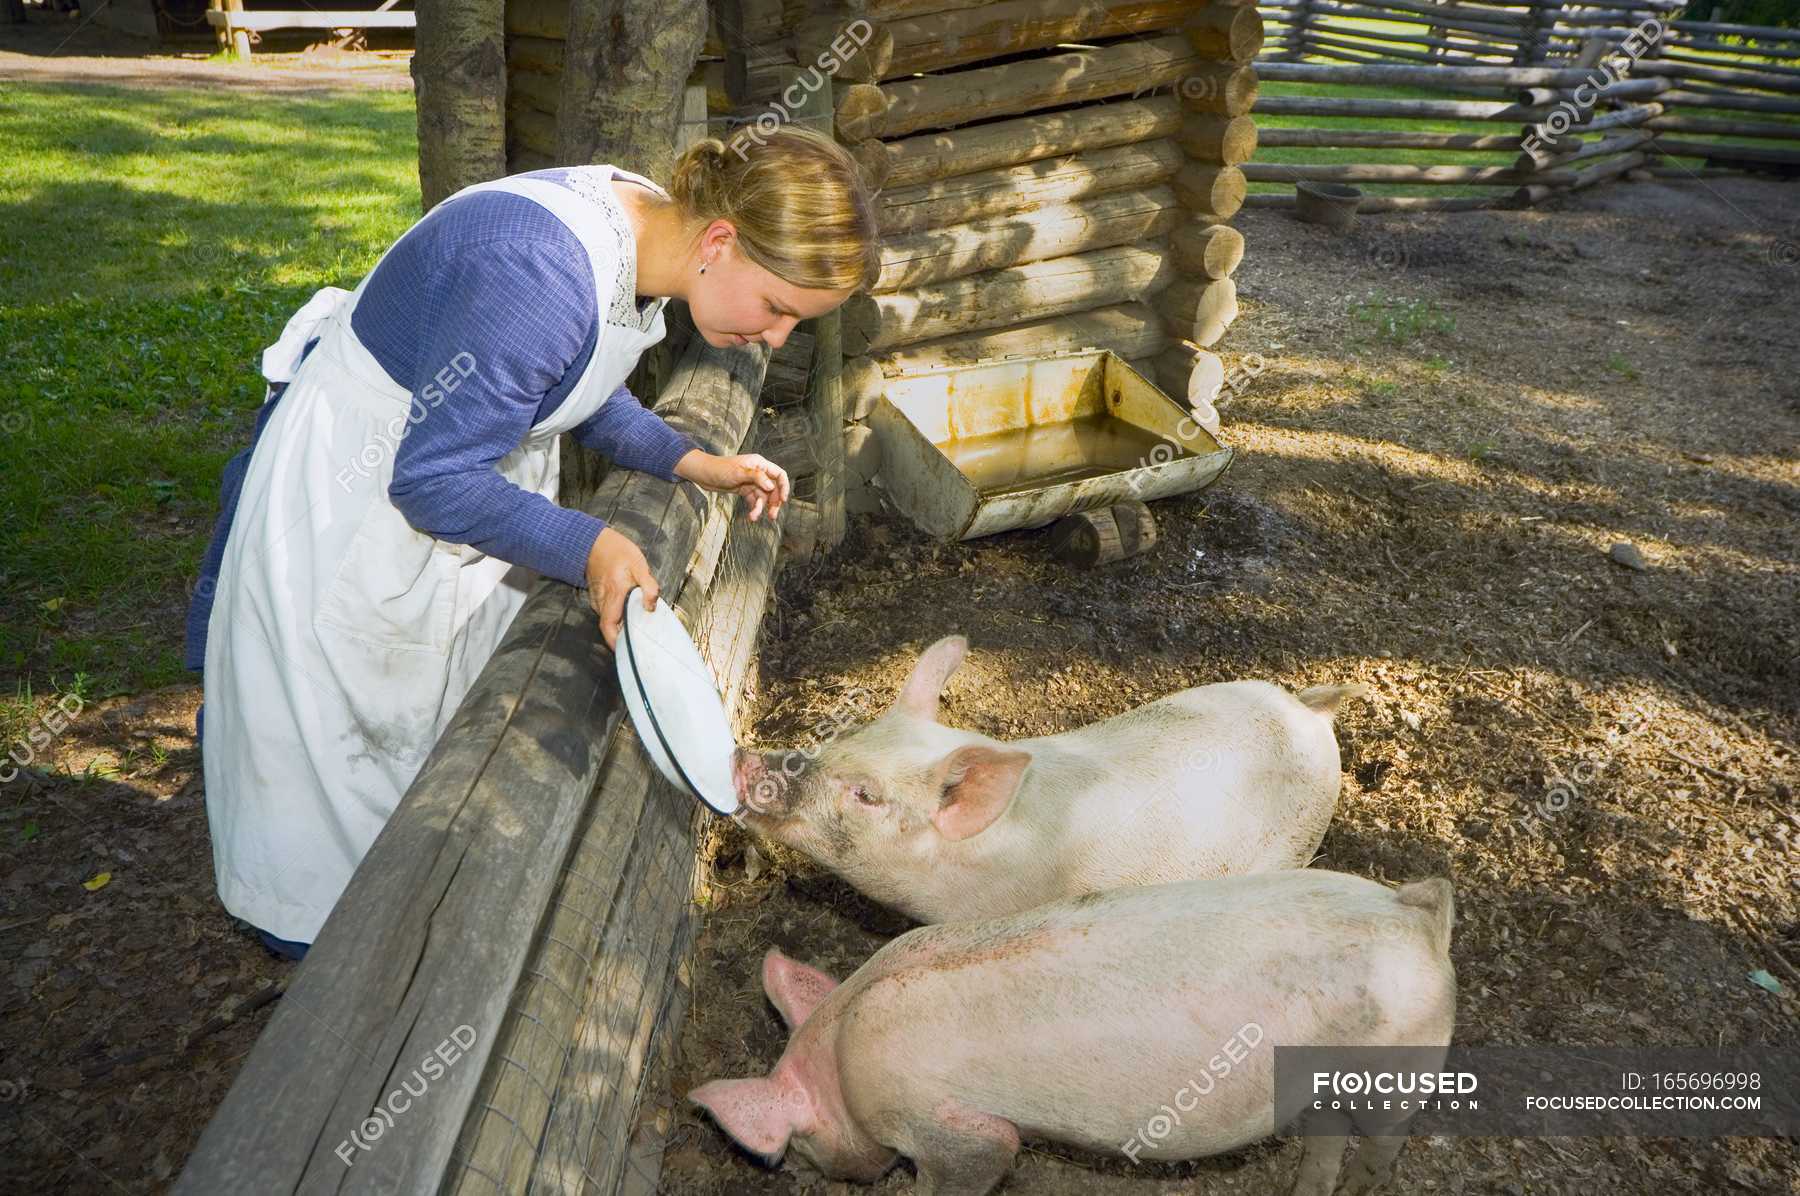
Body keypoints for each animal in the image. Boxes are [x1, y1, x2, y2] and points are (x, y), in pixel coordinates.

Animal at [680, 868, 1454, 1196]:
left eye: (801, 1143)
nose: (806, 1173)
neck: (841, 1055)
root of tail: (1415, 914)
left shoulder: (952, 1127)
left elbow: (977, 1162)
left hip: (1404, 1060)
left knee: (1384, 1139)